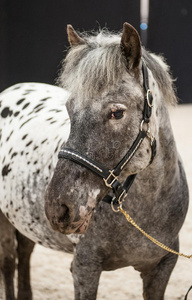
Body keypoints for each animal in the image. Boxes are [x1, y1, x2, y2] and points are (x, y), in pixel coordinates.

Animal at [0, 23, 189, 300]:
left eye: (117, 113)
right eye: (69, 109)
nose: (59, 208)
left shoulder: (162, 268)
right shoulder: (85, 268)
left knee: (23, 254)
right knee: (8, 262)